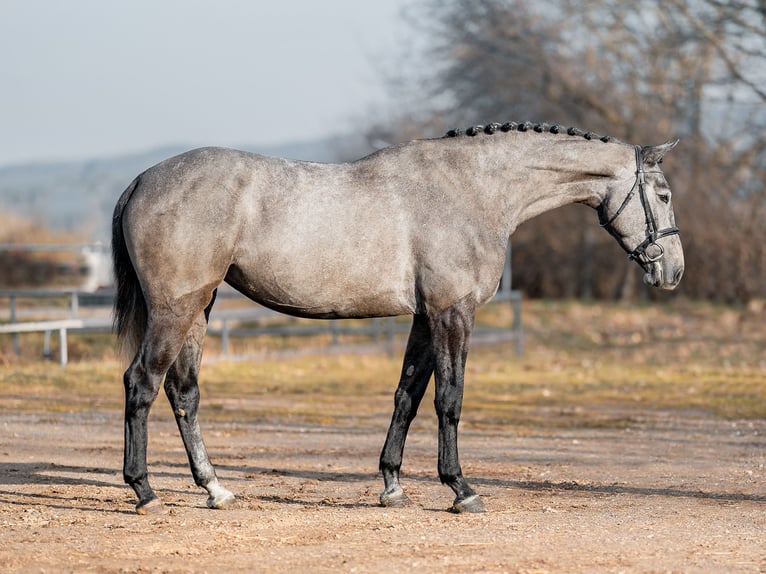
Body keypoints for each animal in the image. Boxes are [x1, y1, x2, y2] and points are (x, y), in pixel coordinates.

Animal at [112, 121, 684, 516]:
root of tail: (141, 179)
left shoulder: (425, 319)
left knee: (183, 392)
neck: (473, 188)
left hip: (199, 308)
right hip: (176, 308)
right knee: (141, 383)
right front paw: (461, 490)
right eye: (663, 195)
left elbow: (407, 396)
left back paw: (215, 488)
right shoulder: (453, 313)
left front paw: (392, 485)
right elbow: (448, 400)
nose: (673, 271)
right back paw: (145, 492)